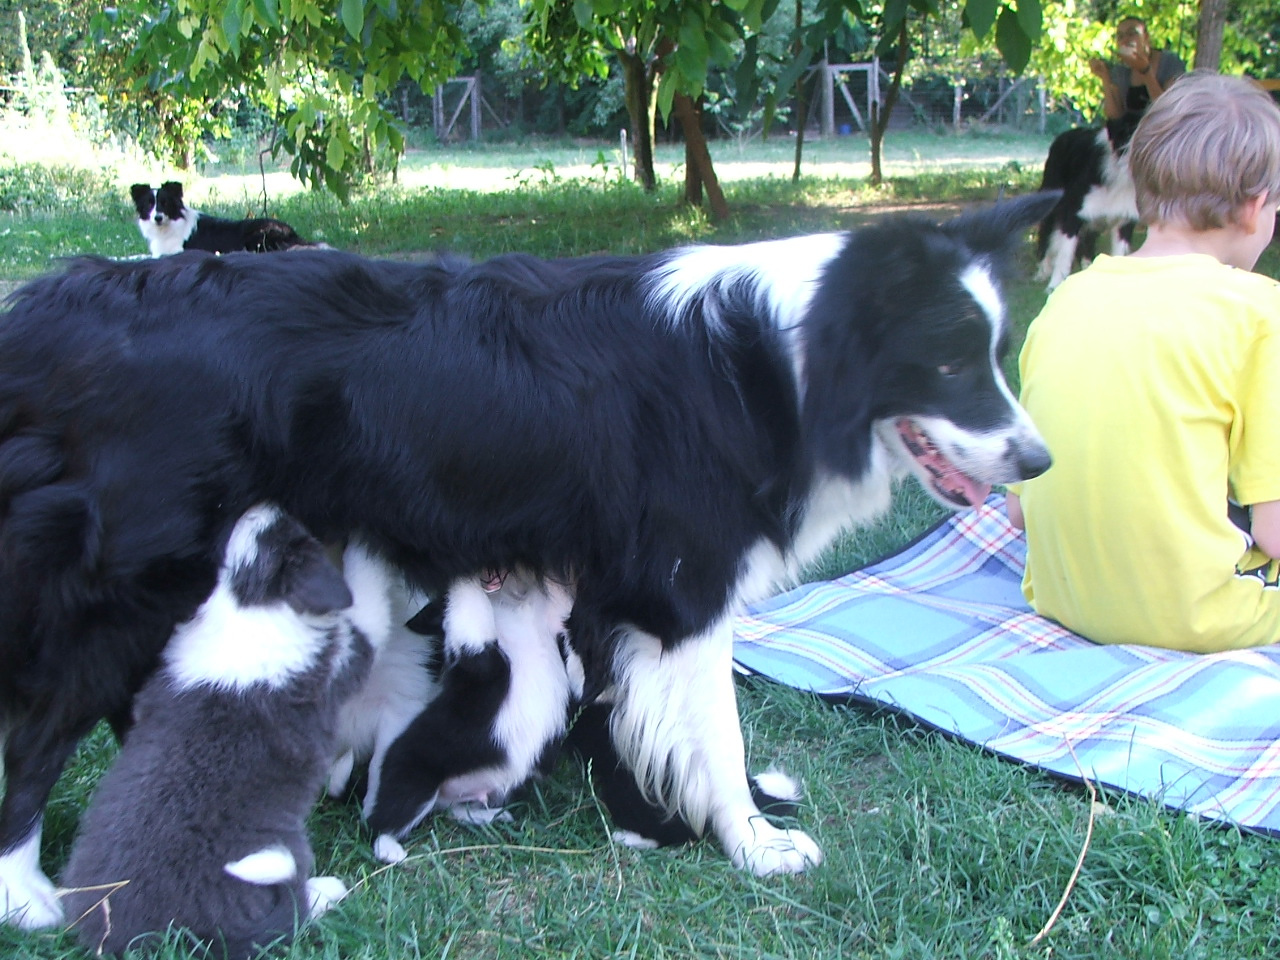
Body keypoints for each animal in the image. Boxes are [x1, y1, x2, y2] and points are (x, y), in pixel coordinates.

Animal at [57, 506, 384, 957]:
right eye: (291, 537)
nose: (264, 507)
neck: (248, 601)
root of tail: (138, 938)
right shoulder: (347, 653)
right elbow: (367, 600)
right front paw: (367, 547)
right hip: (278, 858)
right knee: (293, 911)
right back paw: (324, 891)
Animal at [1029, 115, 1141, 289]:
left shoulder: (1126, 220)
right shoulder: (1073, 213)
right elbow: (1064, 255)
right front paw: (1054, 286)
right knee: (1047, 233)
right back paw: (1042, 271)